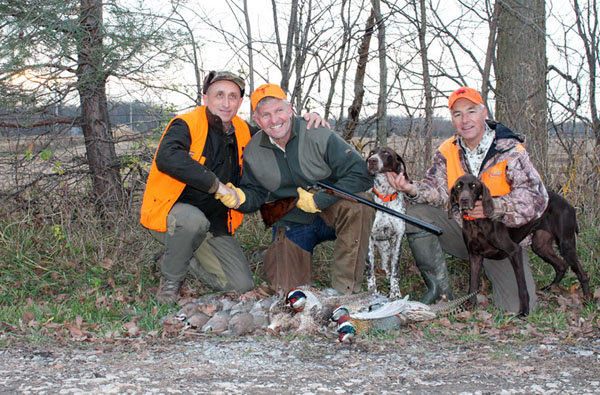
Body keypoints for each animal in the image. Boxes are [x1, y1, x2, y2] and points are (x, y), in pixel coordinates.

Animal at [364, 147, 410, 298]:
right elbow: (370, 269)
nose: (372, 161)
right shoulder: (368, 238)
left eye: (386, 153)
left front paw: (395, 292)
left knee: (385, 265)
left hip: (385, 247)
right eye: (372, 152)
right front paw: (372, 291)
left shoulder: (397, 238)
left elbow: (395, 270)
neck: (385, 196)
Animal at [450, 175, 592, 318]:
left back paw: (587, 299)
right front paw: (469, 305)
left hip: (566, 245)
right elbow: (472, 285)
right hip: (540, 246)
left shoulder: (514, 251)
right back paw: (549, 288)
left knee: (582, 274)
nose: (464, 200)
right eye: (458, 186)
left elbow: (522, 286)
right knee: (561, 265)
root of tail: (569, 205)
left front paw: (524, 311)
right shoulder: (475, 256)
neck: (476, 223)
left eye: (473, 186)